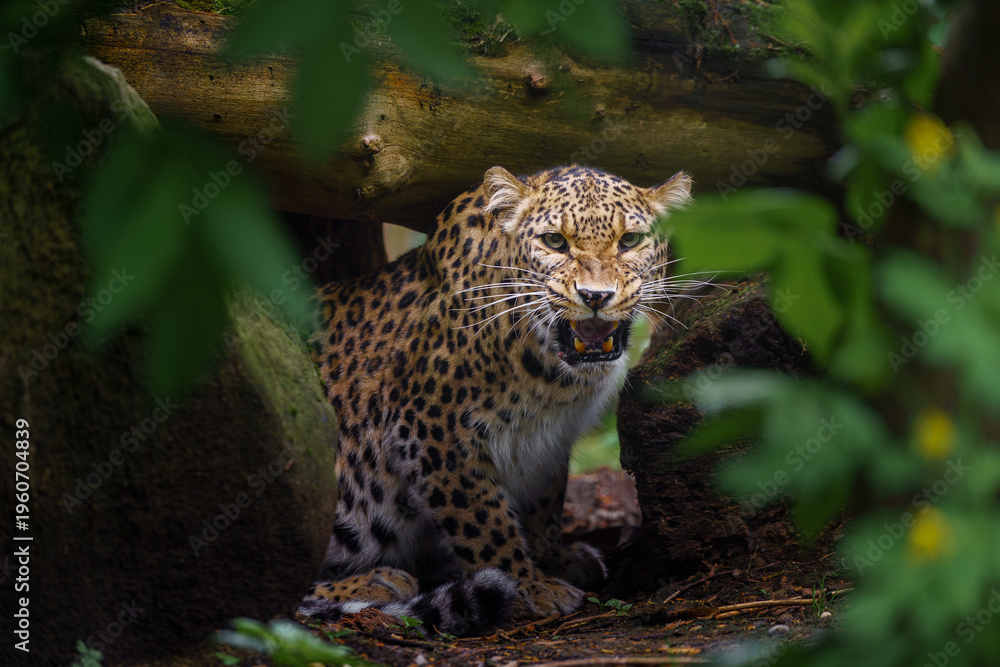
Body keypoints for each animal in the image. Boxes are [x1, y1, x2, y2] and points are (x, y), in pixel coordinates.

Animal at [299, 165, 693, 635]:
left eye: (630, 240)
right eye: (554, 242)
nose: (595, 297)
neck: (551, 379)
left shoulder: (549, 440)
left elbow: (544, 502)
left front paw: (555, 558)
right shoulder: (430, 431)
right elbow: (483, 518)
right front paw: (527, 585)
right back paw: (376, 582)